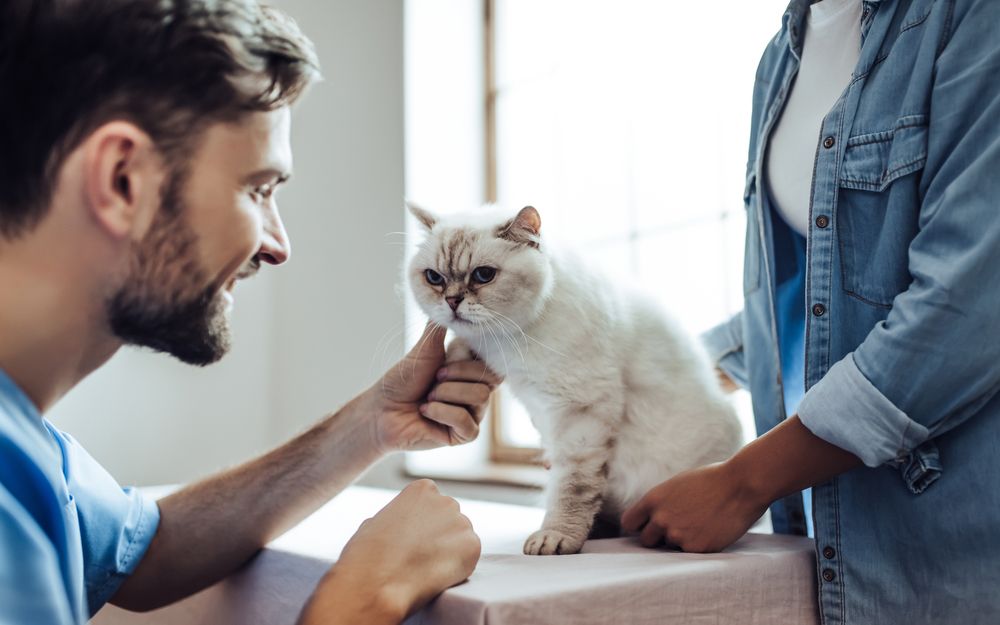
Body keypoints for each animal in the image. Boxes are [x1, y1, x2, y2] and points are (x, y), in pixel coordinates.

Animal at [406, 202, 744, 552]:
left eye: (483, 275)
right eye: (434, 278)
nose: (451, 301)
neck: (508, 341)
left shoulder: (579, 412)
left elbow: (573, 486)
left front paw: (556, 537)